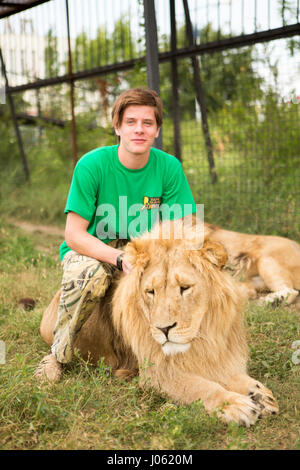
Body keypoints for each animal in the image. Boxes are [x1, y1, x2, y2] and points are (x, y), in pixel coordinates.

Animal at [39, 222, 278, 428]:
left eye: (184, 287)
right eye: (150, 291)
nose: (164, 329)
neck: (203, 335)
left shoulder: (214, 355)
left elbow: (232, 376)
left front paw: (259, 394)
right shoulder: (157, 373)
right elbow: (201, 387)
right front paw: (235, 405)